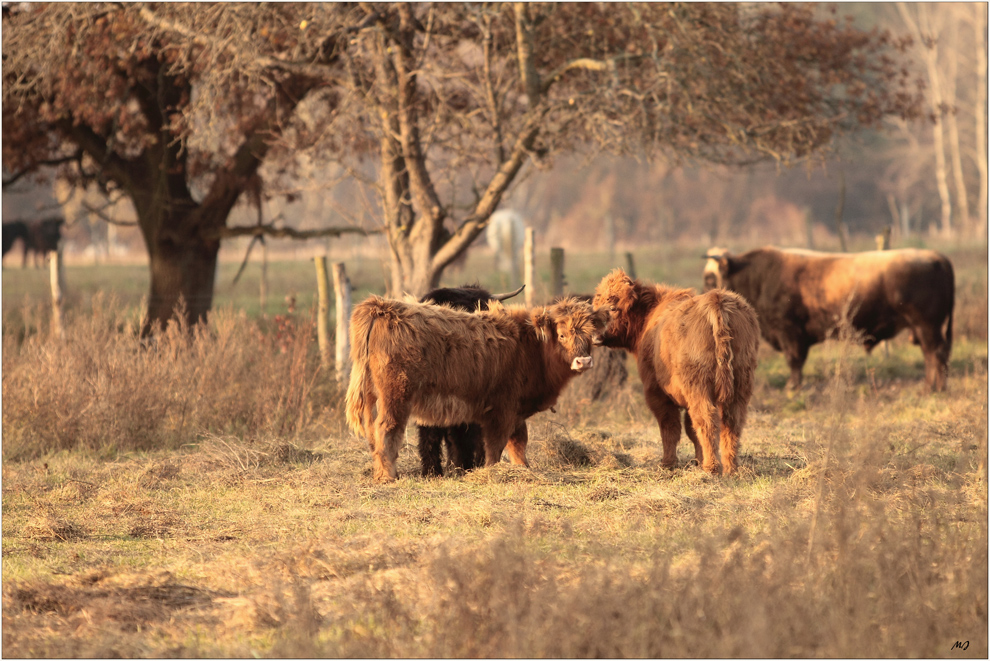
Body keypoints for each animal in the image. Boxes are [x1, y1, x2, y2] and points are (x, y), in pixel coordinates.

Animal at [344, 296, 608, 482]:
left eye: (590, 335)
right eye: (562, 335)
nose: (583, 361)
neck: (530, 349)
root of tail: (380, 307)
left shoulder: (515, 411)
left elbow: (519, 443)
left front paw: (523, 469)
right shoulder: (501, 410)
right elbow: (495, 446)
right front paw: (493, 472)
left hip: (371, 394)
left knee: (372, 433)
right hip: (395, 395)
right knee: (387, 430)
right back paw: (388, 476)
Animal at [592, 268, 764, 474]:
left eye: (613, 307)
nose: (593, 332)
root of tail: (717, 298)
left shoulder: (656, 392)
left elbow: (670, 427)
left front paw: (668, 463)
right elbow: (691, 429)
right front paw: (697, 460)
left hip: (698, 386)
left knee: (706, 419)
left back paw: (712, 467)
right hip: (741, 383)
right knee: (731, 422)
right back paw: (731, 468)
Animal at [700, 248, 956, 392]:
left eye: (710, 279)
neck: (759, 277)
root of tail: (938, 257)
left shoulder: (789, 332)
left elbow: (794, 361)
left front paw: (793, 387)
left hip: (926, 327)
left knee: (935, 355)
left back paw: (932, 388)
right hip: (924, 329)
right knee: (934, 355)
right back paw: (933, 387)